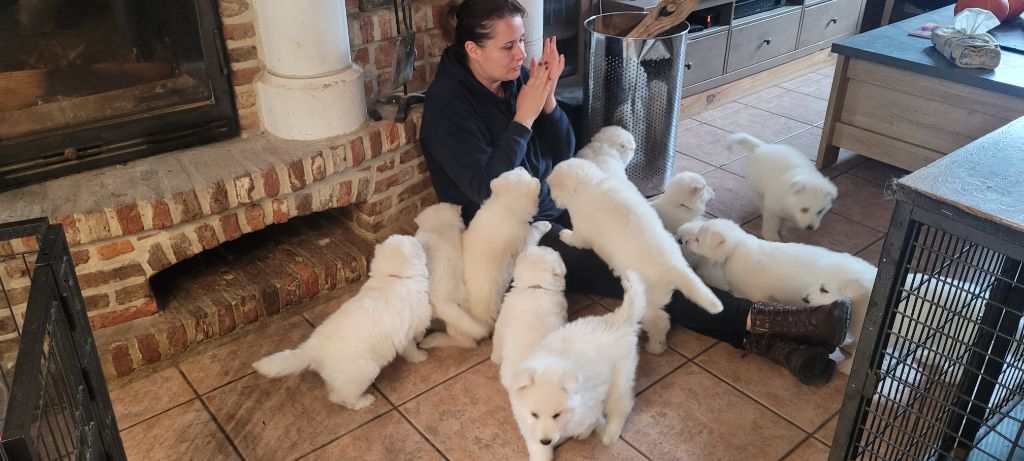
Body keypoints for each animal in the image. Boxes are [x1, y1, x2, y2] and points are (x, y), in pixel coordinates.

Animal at [251, 235, 431, 410]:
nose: (418, 240)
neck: (393, 277)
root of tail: (313, 348)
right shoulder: (410, 327)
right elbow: (413, 345)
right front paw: (421, 355)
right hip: (363, 372)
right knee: (342, 397)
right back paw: (364, 401)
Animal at [461, 167, 550, 331]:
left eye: (515, 169)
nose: (521, 166)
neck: (506, 206)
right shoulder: (524, 242)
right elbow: (534, 232)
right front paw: (544, 224)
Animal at [507, 271, 646, 461]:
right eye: (534, 414)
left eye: (556, 415)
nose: (546, 440)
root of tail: (619, 320)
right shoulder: (529, 425)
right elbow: (537, 446)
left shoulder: (590, 402)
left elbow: (590, 418)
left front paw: (585, 431)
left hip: (620, 378)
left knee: (622, 405)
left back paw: (610, 433)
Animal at [547, 158, 722, 354]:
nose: (552, 197)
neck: (589, 182)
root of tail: (674, 265)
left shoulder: (582, 229)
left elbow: (576, 238)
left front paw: (565, 234)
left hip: (649, 301)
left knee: (660, 321)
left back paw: (655, 346)